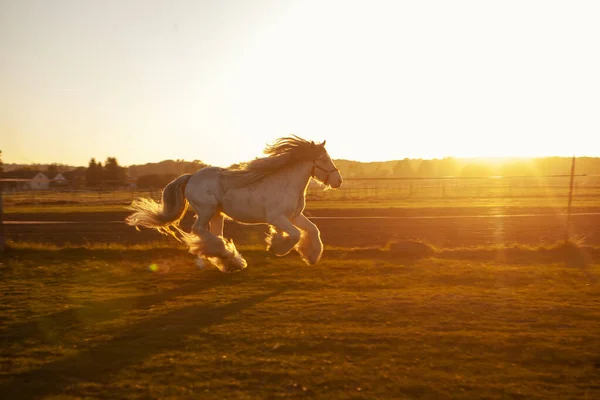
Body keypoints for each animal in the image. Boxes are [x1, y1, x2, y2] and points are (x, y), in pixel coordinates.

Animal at [125, 137, 342, 272]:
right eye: (324, 159)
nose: (338, 181)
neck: (286, 183)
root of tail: (191, 177)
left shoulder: (294, 216)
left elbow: (313, 230)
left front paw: (311, 256)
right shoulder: (277, 217)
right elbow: (295, 235)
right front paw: (276, 246)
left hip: (217, 215)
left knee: (213, 233)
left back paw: (229, 261)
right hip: (206, 210)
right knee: (199, 230)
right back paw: (226, 256)